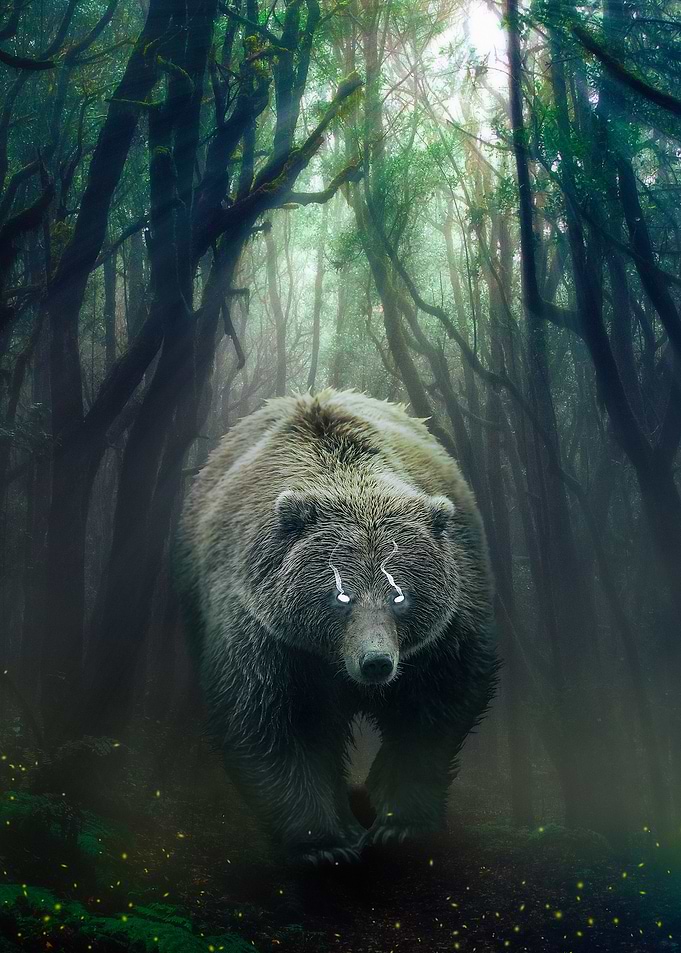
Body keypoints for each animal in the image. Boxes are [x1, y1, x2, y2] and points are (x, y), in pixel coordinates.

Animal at [174, 389, 499, 866]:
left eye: (400, 595)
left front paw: (398, 823)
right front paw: (325, 843)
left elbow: (436, 709)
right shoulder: (268, 634)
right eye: (341, 595)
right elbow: (271, 720)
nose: (376, 662)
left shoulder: (444, 634)